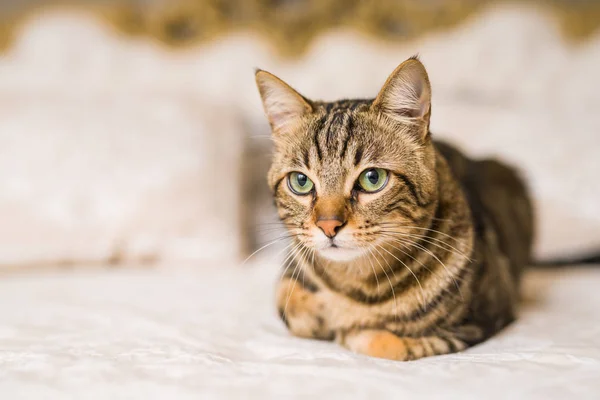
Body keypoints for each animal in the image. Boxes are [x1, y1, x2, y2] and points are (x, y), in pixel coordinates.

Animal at [254, 57, 536, 362]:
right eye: (301, 181)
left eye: (372, 178)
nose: (328, 225)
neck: (356, 284)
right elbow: (292, 304)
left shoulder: (480, 320)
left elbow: (387, 345)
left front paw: (350, 331)